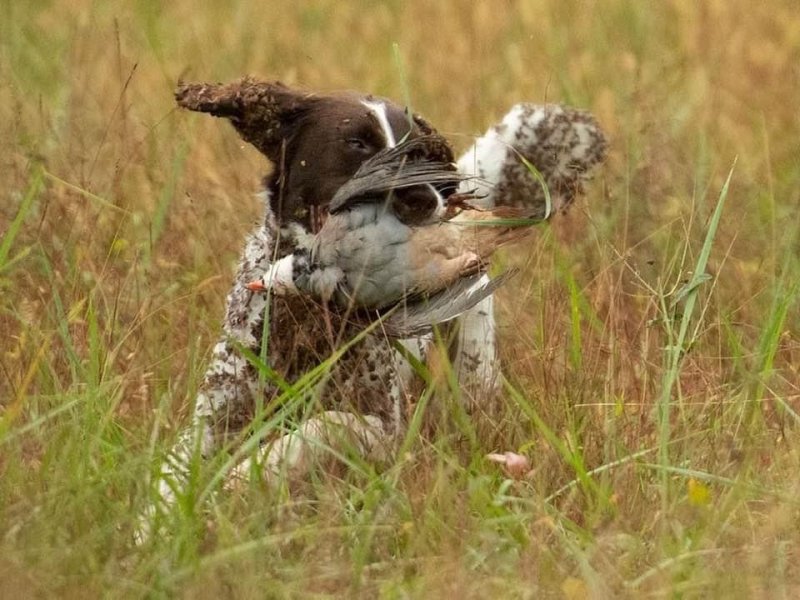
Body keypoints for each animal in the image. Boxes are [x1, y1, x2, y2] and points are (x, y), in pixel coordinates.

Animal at [142, 77, 608, 540]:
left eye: (416, 152)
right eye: (356, 143)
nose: (425, 199)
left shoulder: (382, 427)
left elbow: (325, 426)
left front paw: (242, 477)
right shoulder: (217, 415)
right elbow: (172, 472)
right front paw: (157, 525)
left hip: (475, 372)